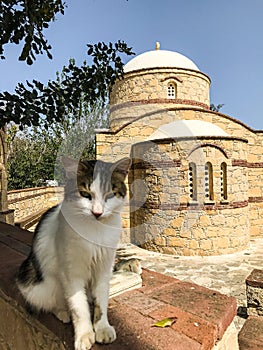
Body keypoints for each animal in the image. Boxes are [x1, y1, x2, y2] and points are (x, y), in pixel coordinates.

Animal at [16, 157, 131, 350]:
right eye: (86, 194)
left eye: (109, 195)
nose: (97, 213)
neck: (95, 230)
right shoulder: (71, 272)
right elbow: (78, 306)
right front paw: (84, 335)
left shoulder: (104, 268)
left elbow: (101, 301)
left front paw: (102, 328)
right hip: (38, 286)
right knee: (53, 302)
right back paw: (62, 312)